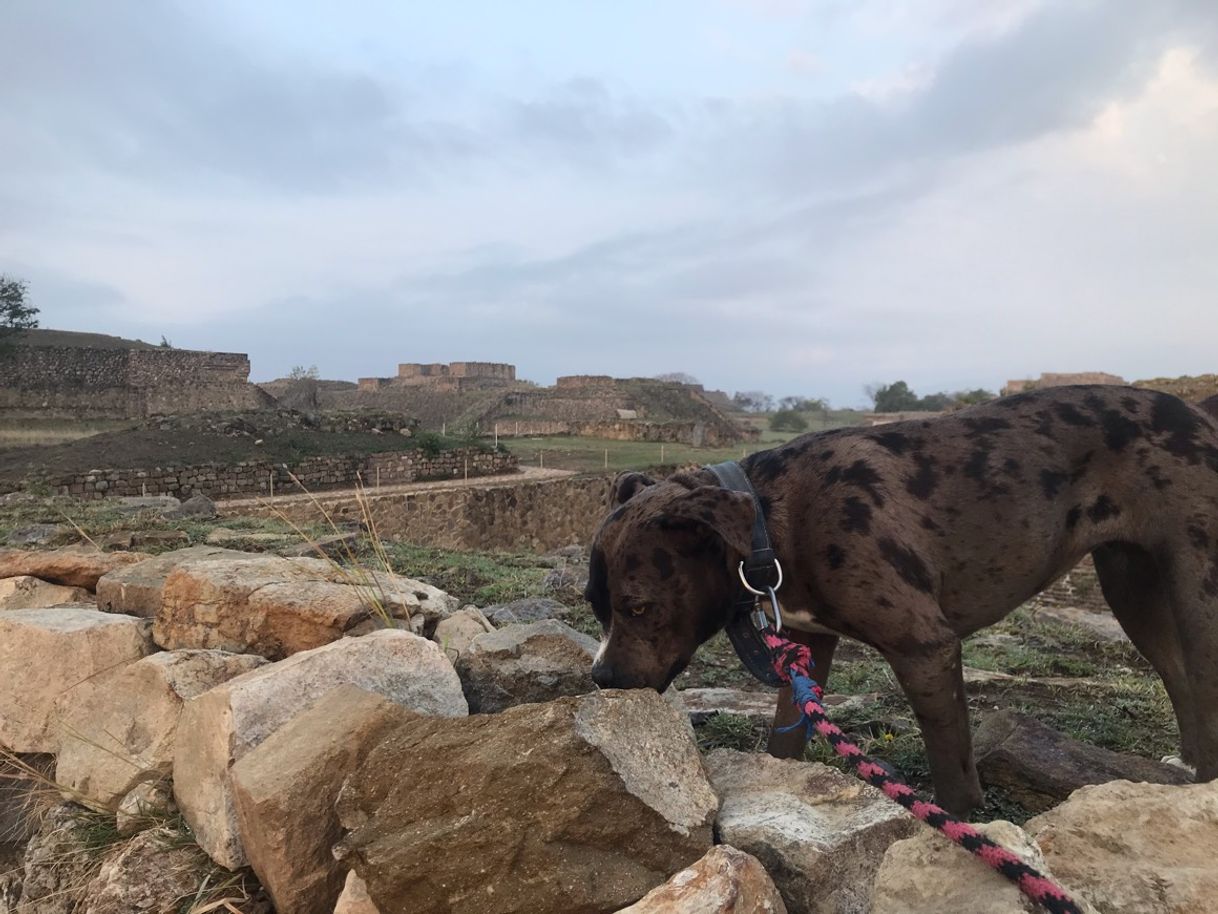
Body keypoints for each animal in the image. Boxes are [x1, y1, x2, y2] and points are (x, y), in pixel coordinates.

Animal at [579, 387, 1218, 814]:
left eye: (638, 606)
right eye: (596, 608)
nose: (602, 678)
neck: (769, 517)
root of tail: (1198, 412)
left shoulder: (925, 649)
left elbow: (954, 779)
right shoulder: (809, 645)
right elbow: (785, 739)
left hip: (1198, 592)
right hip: (1133, 589)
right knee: (1181, 677)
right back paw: (1188, 771)